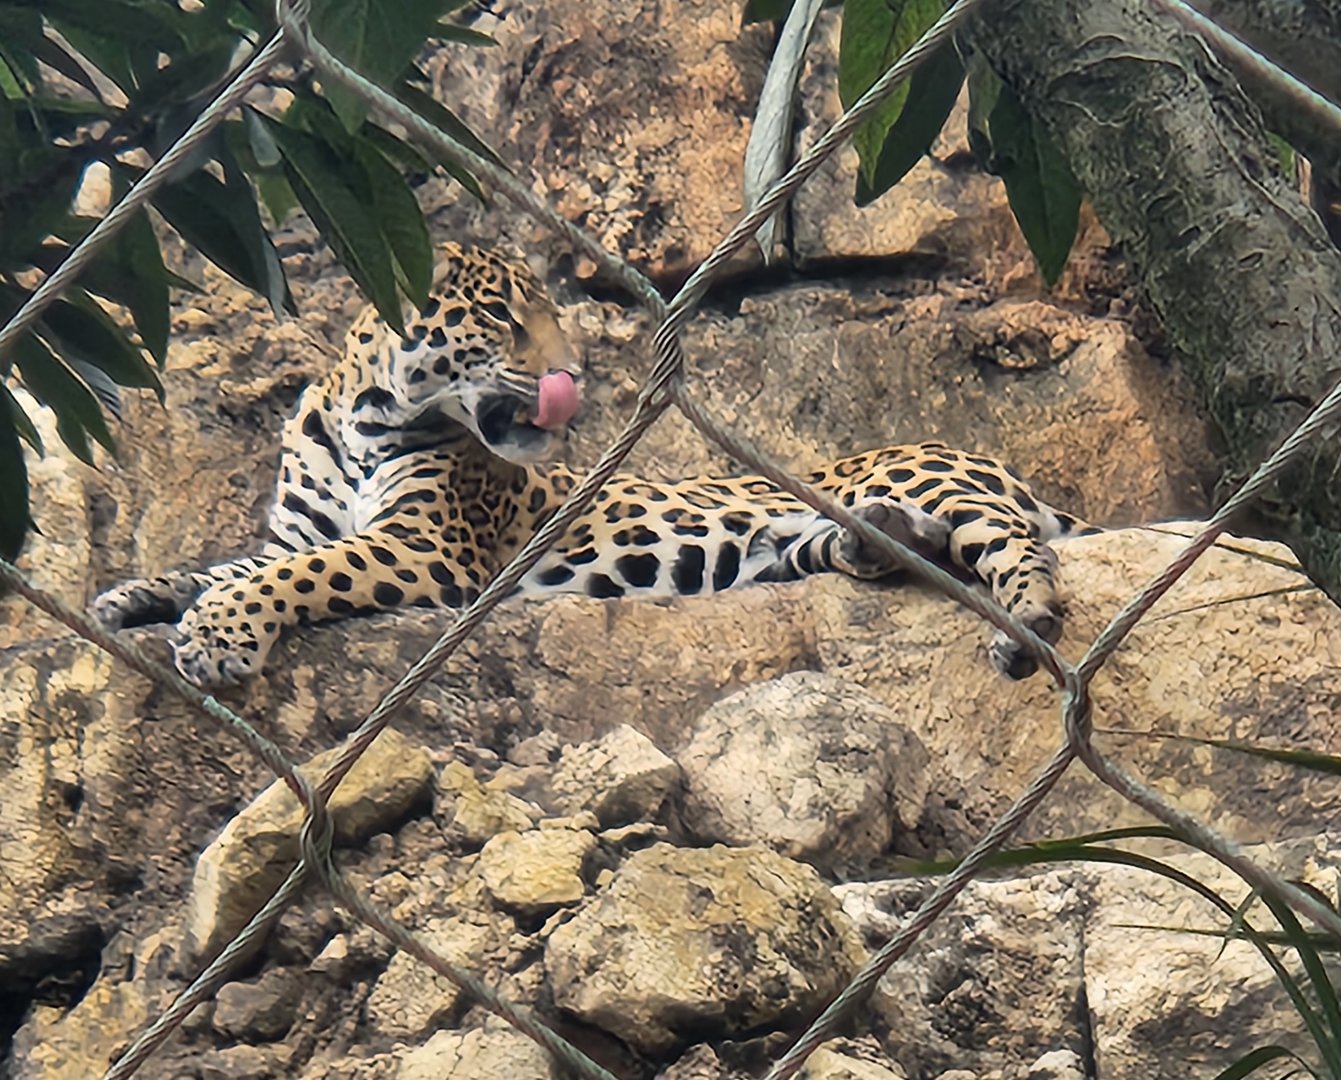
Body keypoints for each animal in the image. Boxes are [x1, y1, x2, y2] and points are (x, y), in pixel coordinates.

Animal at [93, 242, 1100, 688]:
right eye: (504, 320)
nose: (571, 375)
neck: (361, 413)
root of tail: (973, 453)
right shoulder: (300, 529)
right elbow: (231, 563)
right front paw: (134, 597)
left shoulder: (425, 546)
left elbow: (296, 575)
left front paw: (217, 636)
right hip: (802, 539)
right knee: (884, 547)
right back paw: (885, 543)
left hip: (928, 479)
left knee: (1022, 546)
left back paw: (1026, 623)